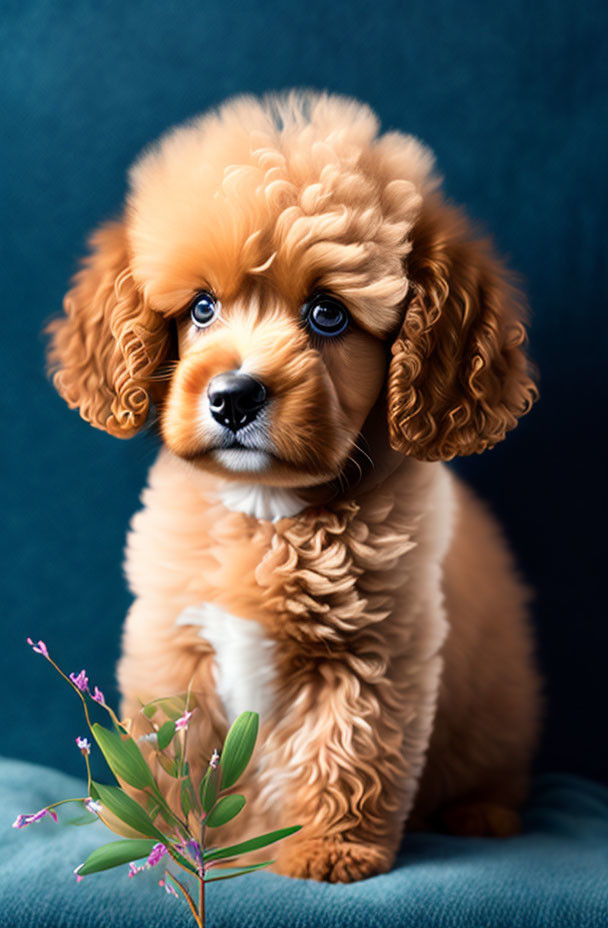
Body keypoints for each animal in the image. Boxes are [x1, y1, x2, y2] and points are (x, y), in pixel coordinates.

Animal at [48, 94, 540, 884]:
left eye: (327, 313)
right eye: (202, 308)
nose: (233, 398)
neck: (267, 512)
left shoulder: (373, 652)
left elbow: (348, 748)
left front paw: (328, 848)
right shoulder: (173, 635)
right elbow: (170, 742)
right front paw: (157, 831)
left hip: (498, 708)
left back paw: (482, 813)